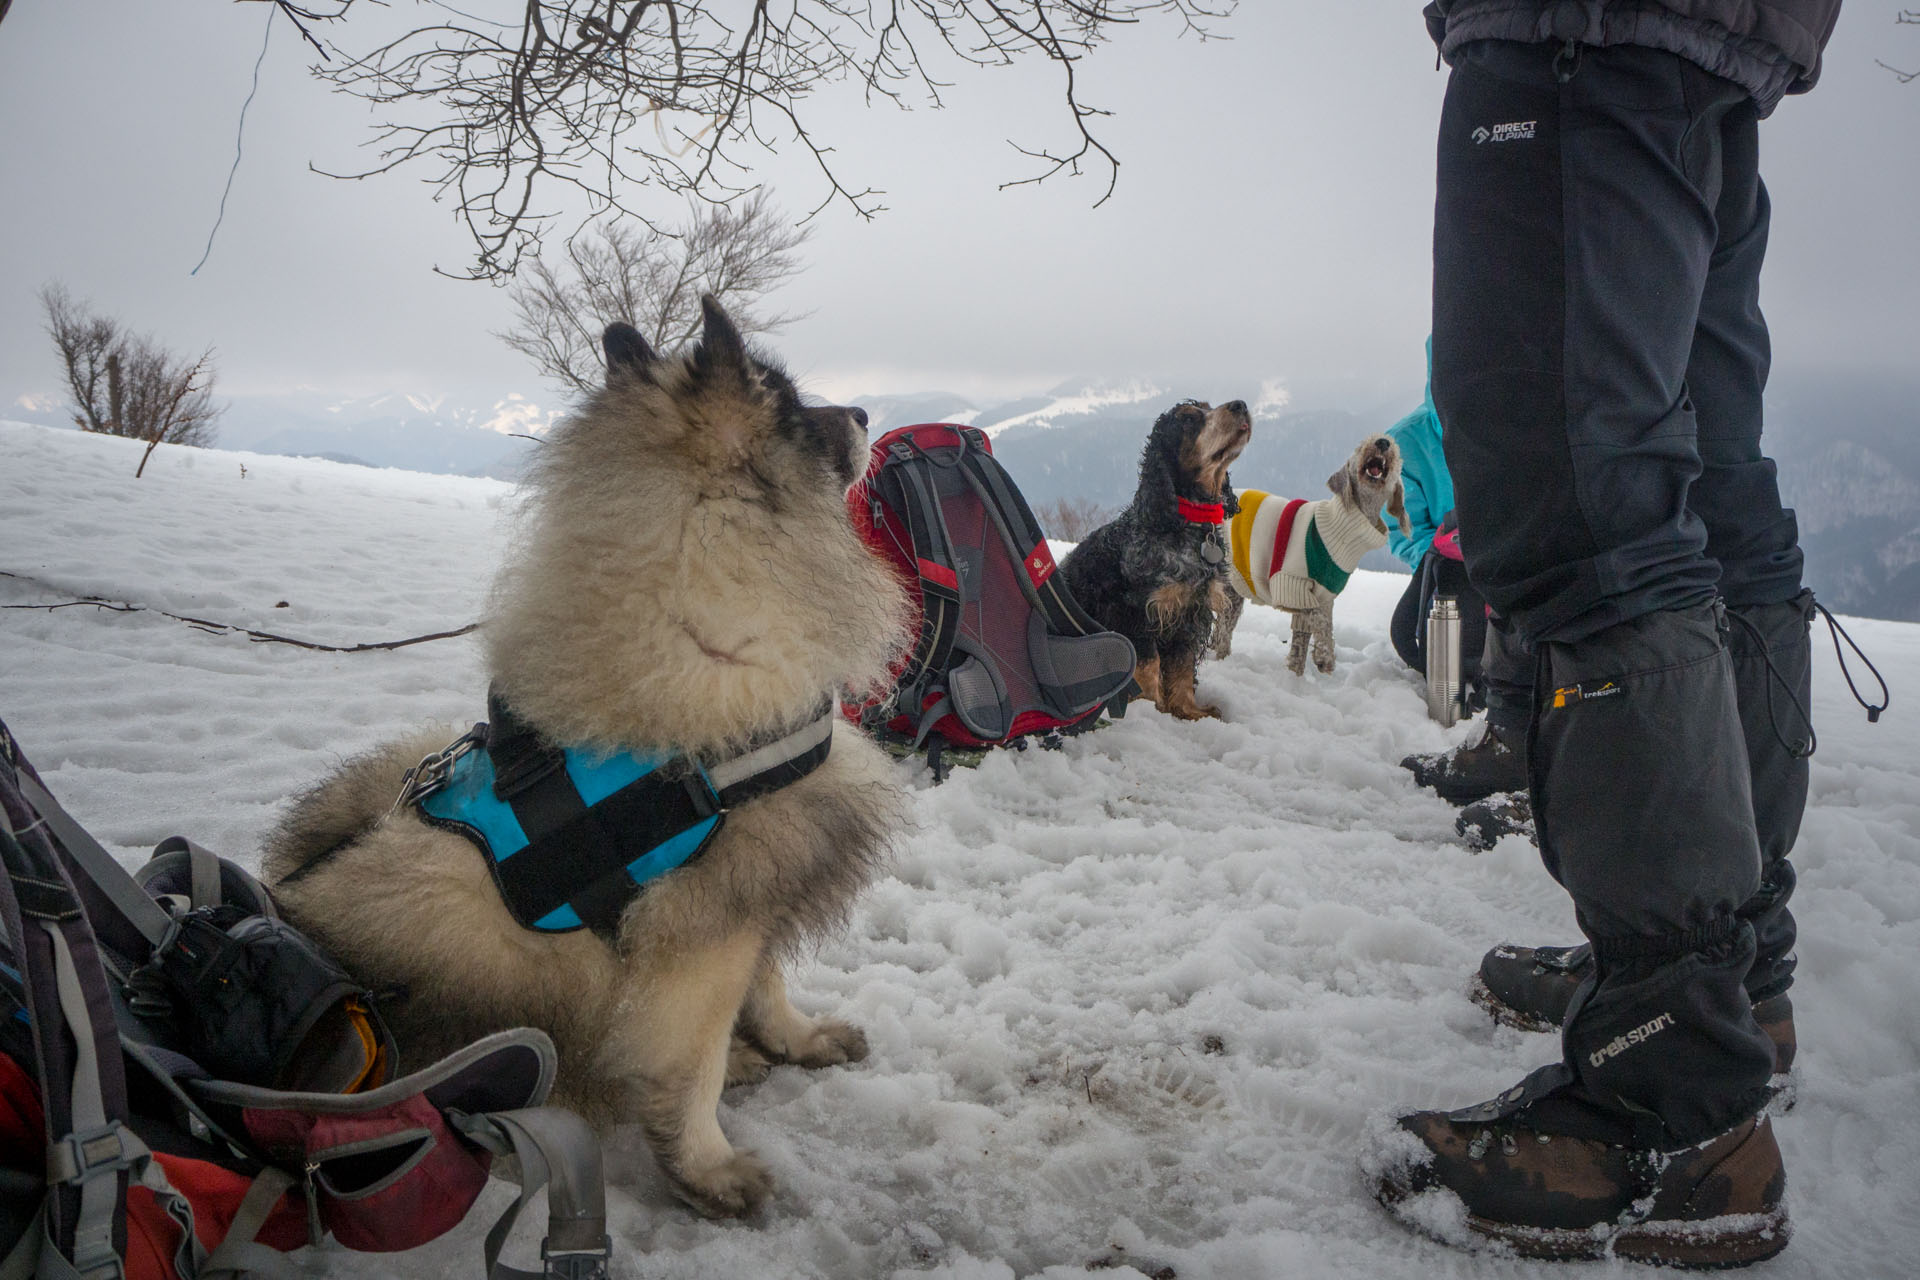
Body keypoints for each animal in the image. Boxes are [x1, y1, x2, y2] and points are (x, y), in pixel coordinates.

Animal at [264, 295, 913, 1220]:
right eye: (791, 407)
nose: (862, 413)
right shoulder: (702, 933)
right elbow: (691, 1060)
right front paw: (707, 1165)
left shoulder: (752, 891)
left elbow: (769, 988)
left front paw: (797, 1039)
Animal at [1059, 401, 1251, 721]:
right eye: (1188, 419)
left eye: (1209, 407)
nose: (1241, 405)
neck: (1185, 523)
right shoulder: (1134, 611)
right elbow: (1148, 664)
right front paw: (1150, 708)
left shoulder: (1191, 613)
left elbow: (1182, 666)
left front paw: (1189, 710)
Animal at [1213, 435, 1413, 675]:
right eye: (1359, 447)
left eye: (1396, 450)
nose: (1383, 442)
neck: (1345, 523)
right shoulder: (1292, 586)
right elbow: (1320, 623)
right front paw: (1323, 657)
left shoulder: (1324, 595)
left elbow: (1304, 639)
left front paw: (1297, 676)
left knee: (1222, 629)